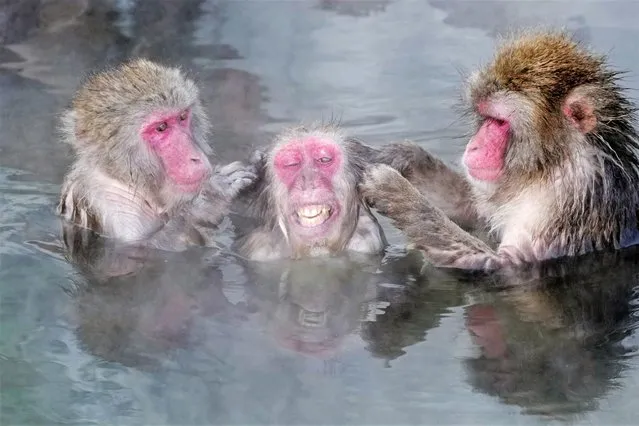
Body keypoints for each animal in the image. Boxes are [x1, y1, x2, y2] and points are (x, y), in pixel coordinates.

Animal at [57, 57, 258, 250]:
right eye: (161, 127)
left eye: (182, 117)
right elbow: (141, 247)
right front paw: (212, 197)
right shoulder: (113, 208)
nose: (195, 158)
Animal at [360, 31, 639, 272]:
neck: (550, 165)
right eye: (485, 117)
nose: (474, 145)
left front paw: (391, 189)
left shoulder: (569, 207)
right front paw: (400, 155)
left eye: (500, 122)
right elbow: (473, 211)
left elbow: (499, 263)